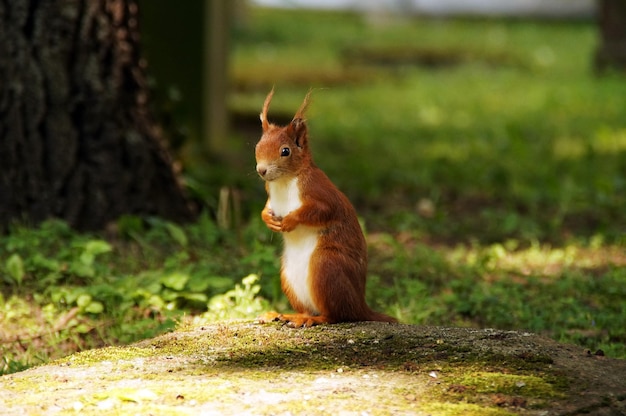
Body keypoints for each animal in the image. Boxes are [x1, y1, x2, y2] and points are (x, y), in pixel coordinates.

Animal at [254, 88, 394, 328]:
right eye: (257, 145)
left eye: (285, 151)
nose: (261, 170)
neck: (284, 181)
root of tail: (360, 305)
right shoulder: (271, 195)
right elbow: (266, 208)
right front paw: (268, 219)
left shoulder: (319, 191)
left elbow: (321, 211)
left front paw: (290, 220)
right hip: (288, 275)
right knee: (311, 309)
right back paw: (287, 315)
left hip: (326, 266)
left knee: (337, 315)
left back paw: (313, 319)